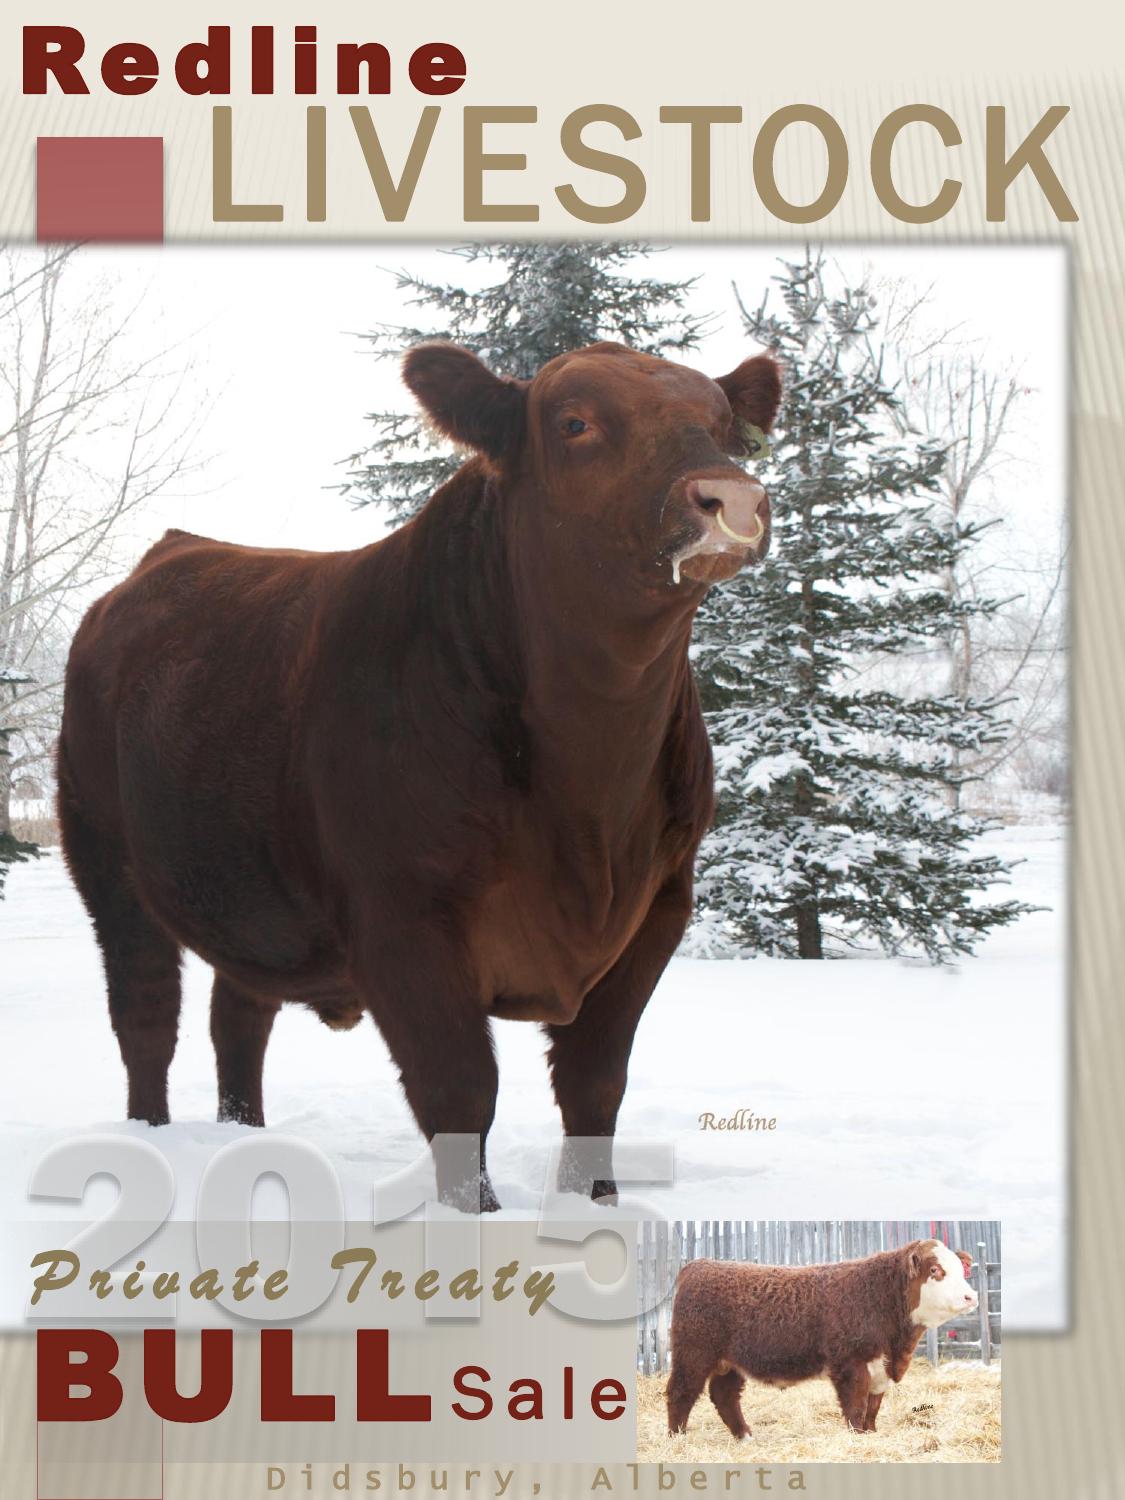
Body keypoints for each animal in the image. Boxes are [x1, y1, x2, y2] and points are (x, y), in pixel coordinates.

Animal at [56, 338, 782, 1212]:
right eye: (574, 422)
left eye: (725, 426)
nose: (730, 497)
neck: (590, 784)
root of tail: (178, 547)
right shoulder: (401, 916)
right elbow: (459, 1090)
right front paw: (475, 1220)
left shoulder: (658, 908)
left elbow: (594, 1083)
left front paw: (594, 1207)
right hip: (105, 859)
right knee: (145, 1013)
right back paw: (151, 1144)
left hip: (252, 890)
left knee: (238, 1015)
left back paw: (245, 1139)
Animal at [666, 1241, 978, 1436]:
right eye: (935, 1270)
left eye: (961, 1270)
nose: (971, 1296)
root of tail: (698, 1266)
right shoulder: (851, 1363)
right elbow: (856, 1407)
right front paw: (858, 1438)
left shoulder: (880, 1369)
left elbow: (872, 1409)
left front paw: (872, 1434)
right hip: (692, 1355)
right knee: (680, 1392)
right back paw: (677, 1438)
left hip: (730, 1363)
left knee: (724, 1395)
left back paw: (745, 1436)